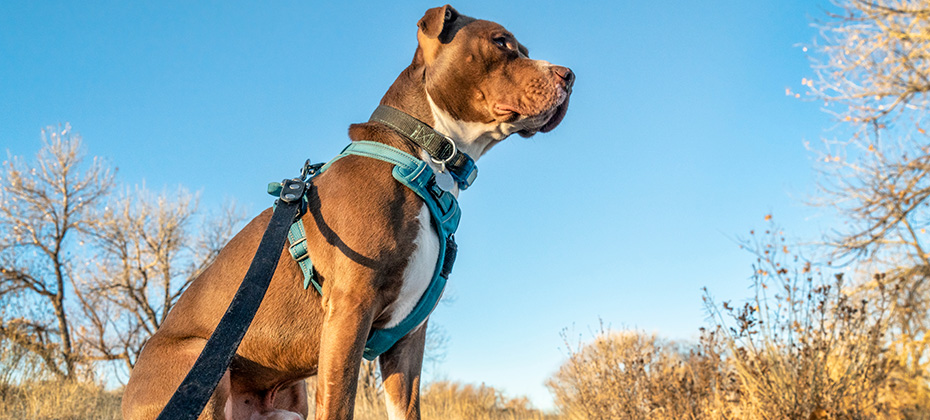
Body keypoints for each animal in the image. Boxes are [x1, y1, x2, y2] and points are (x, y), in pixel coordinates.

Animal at [121, 4, 572, 420]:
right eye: (501, 43)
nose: (568, 75)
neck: (426, 160)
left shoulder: (408, 341)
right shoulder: (350, 310)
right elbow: (339, 404)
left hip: (288, 405)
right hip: (198, 365)